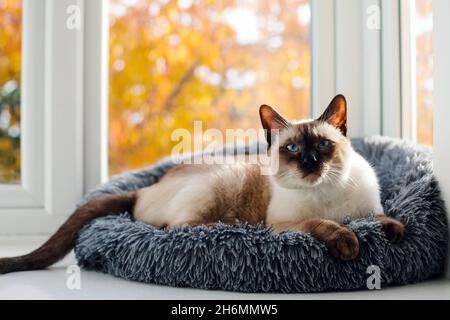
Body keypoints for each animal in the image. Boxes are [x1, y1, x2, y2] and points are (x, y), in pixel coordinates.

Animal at [0, 94, 404, 274]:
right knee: (181, 228)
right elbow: (326, 225)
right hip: (220, 186)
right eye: (292, 148)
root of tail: (148, 185)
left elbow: (377, 218)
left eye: (321, 146)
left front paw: (395, 231)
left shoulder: (365, 208)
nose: (309, 164)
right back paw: (234, 229)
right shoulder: (286, 224)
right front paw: (349, 242)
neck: (327, 193)